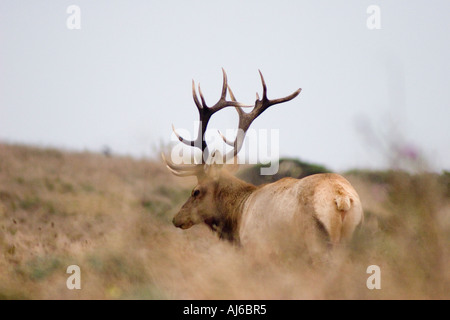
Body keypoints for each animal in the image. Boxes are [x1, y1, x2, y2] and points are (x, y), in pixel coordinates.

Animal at [163, 69, 364, 250]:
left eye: (196, 191)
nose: (175, 218)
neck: (240, 215)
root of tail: (341, 199)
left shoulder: (259, 247)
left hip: (315, 242)